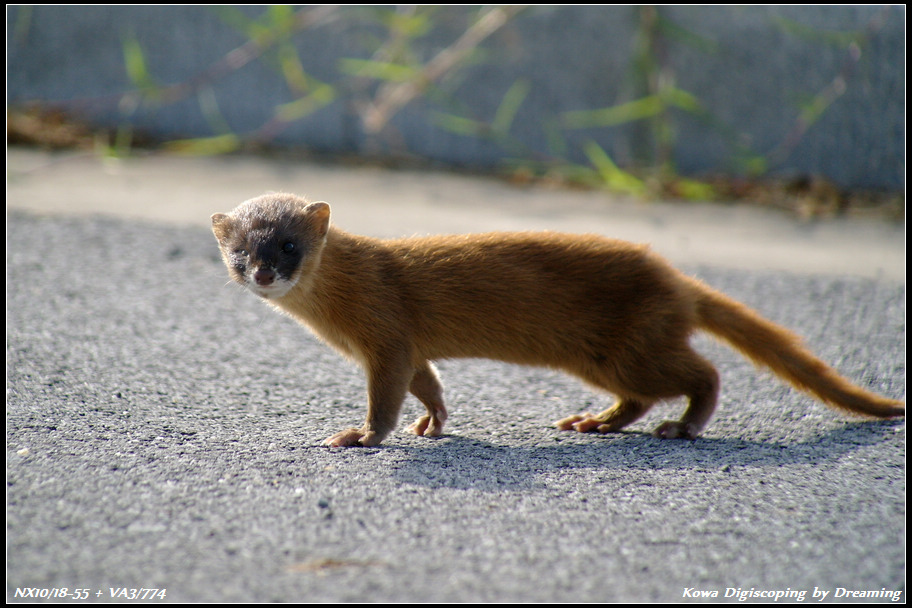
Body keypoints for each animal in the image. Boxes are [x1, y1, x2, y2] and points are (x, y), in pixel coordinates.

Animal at [210, 192, 900, 444]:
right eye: (240, 251)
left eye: (289, 245)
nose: (263, 272)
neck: (334, 317)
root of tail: (674, 277)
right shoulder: (406, 345)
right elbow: (428, 382)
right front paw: (432, 423)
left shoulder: (385, 333)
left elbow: (387, 396)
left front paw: (359, 436)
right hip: (601, 356)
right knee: (638, 395)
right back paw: (592, 422)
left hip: (632, 344)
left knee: (702, 374)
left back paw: (682, 426)